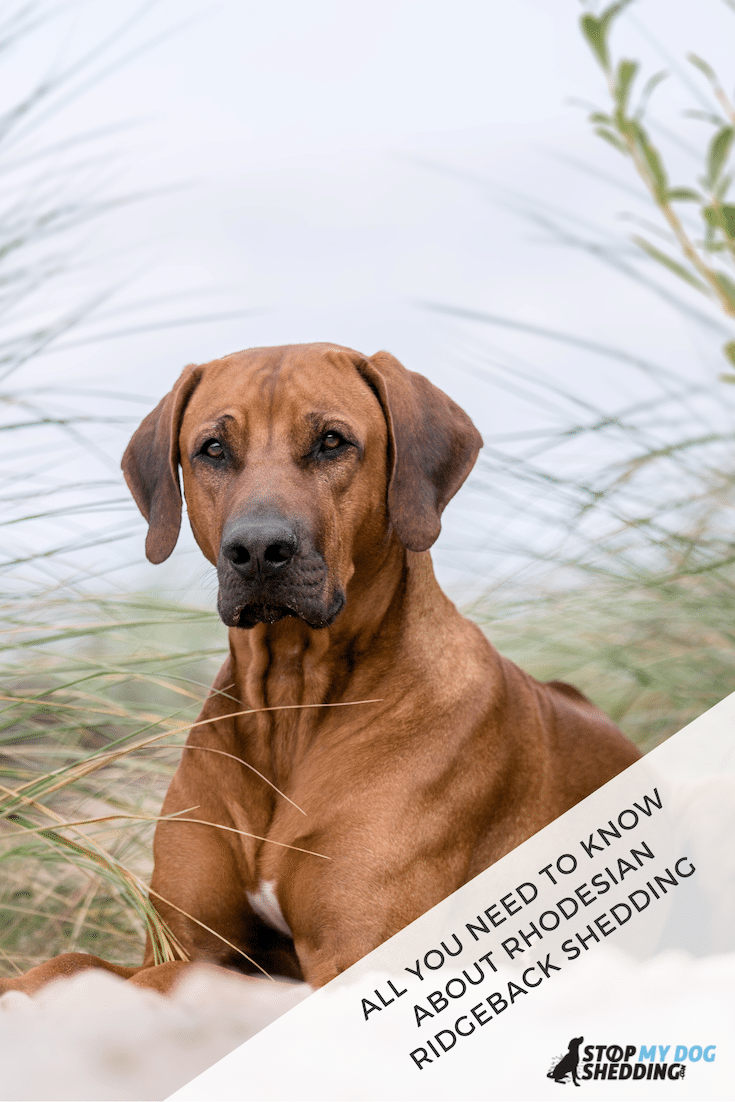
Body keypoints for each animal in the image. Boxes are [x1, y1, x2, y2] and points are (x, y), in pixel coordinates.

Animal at [1, 346, 639, 1000]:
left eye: (332, 441)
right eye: (212, 448)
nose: (258, 550)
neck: (291, 694)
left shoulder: (359, 961)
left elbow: (169, 981)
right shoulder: (183, 937)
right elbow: (72, 963)